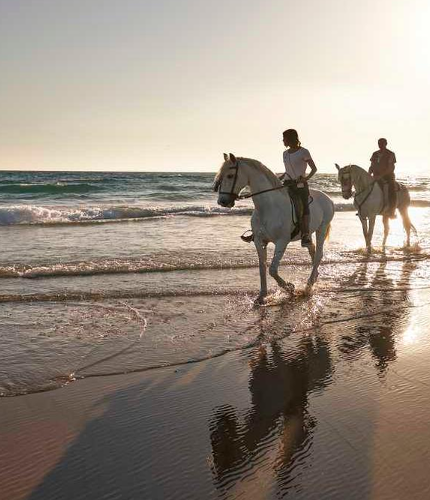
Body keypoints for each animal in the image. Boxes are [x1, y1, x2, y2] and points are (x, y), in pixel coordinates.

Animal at [213, 152, 334, 302]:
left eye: (230, 176)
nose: (222, 201)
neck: (268, 208)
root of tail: (328, 198)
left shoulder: (282, 242)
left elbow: (272, 269)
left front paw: (290, 288)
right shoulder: (259, 241)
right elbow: (262, 267)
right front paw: (262, 295)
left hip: (321, 228)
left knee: (318, 254)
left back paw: (308, 285)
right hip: (308, 233)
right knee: (311, 249)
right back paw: (314, 277)